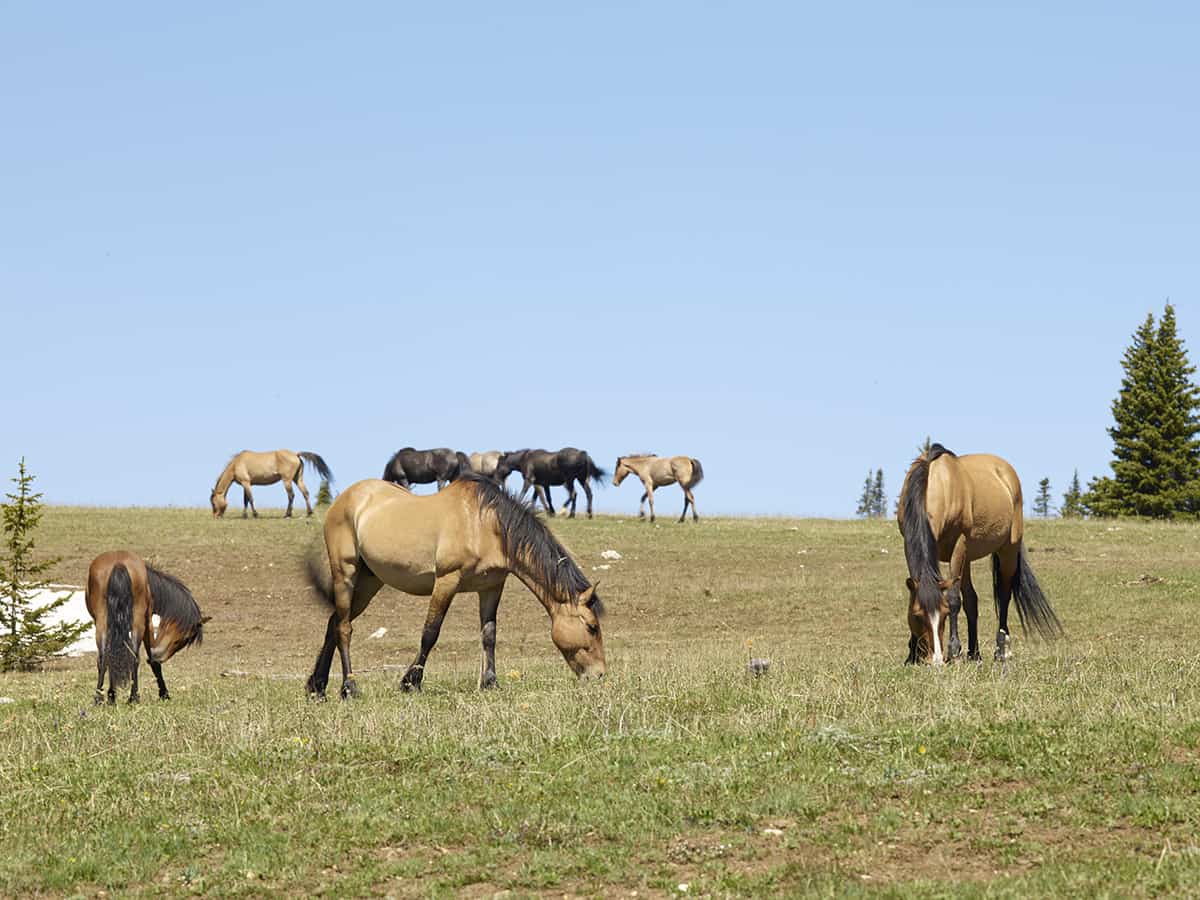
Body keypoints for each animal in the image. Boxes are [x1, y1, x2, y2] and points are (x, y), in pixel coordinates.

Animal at [85, 551, 209, 704]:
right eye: (185, 638)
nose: (159, 655)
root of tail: (119, 563)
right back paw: (120, 697)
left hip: (114, 622)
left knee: (112, 657)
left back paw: (116, 698)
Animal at [304, 474, 606, 699]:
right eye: (592, 627)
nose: (600, 675)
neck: (485, 525)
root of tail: (346, 498)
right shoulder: (447, 580)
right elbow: (430, 633)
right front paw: (411, 682)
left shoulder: (492, 586)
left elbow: (489, 634)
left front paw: (490, 682)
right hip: (345, 573)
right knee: (344, 628)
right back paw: (349, 688)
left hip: (370, 582)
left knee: (334, 622)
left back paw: (317, 687)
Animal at [897, 443, 1062, 665]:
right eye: (916, 615)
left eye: (944, 615)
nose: (937, 659)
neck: (935, 485)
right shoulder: (908, 542)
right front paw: (912, 654)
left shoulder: (959, 545)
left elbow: (954, 599)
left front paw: (954, 650)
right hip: (966, 559)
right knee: (971, 600)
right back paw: (974, 654)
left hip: (1007, 550)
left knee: (1004, 595)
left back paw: (1001, 650)